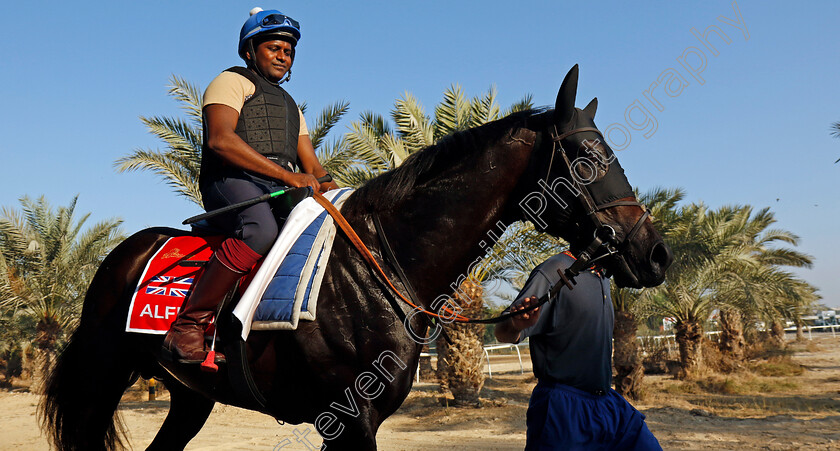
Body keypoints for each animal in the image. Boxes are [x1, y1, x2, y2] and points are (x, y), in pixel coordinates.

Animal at [42, 65, 672, 450]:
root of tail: (121, 254)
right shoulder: (349, 420)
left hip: (190, 397)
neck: (386, 267)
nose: (656, 253)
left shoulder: (352, 422)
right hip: (102, 379)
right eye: (588, 154)